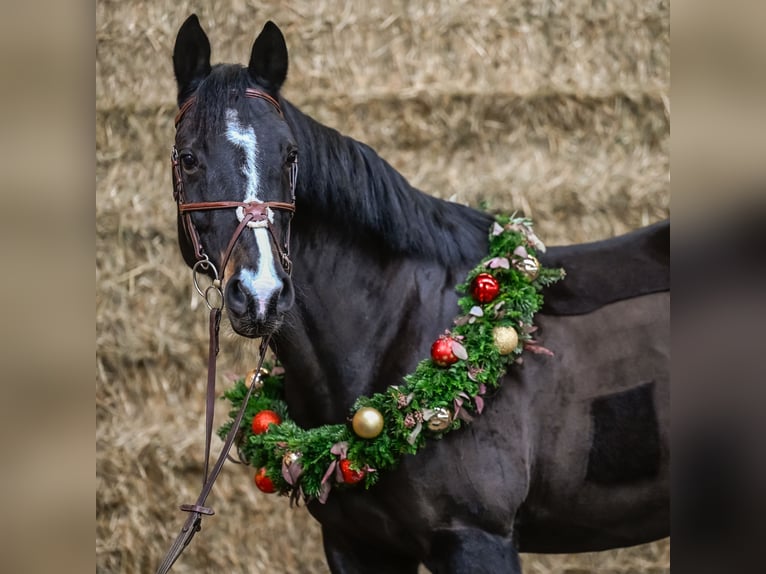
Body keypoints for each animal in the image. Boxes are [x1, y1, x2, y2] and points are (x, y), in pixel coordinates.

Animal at [170, 14, 672, 574]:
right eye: (188, 159)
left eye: (290, 155)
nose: (262, 294)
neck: (400, 329)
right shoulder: (358, 545)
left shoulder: (477, 539)